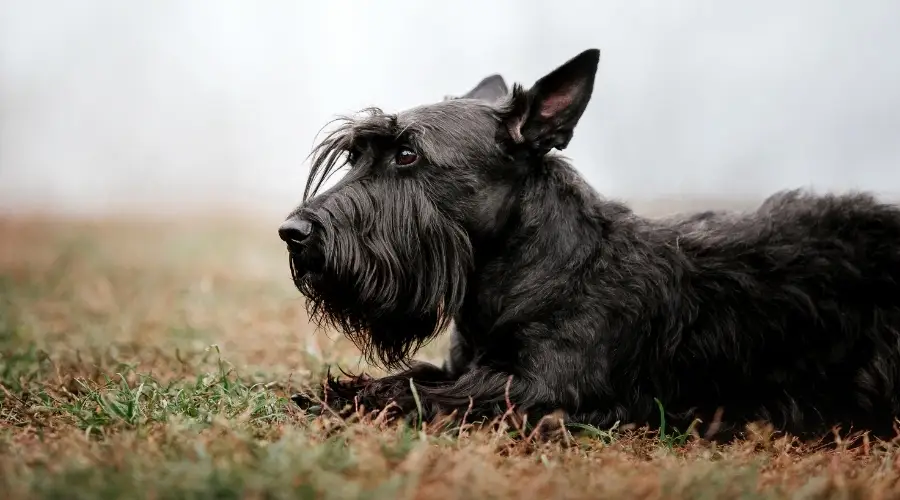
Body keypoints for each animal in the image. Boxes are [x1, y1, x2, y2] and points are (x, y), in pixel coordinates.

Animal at [278, 48, 900, 440]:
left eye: (408, 154)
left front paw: (351, 400)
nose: (294, 233)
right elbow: (414, 376)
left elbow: (433, 395)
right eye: (358, 155)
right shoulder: (466, 364)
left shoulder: (542, 389)